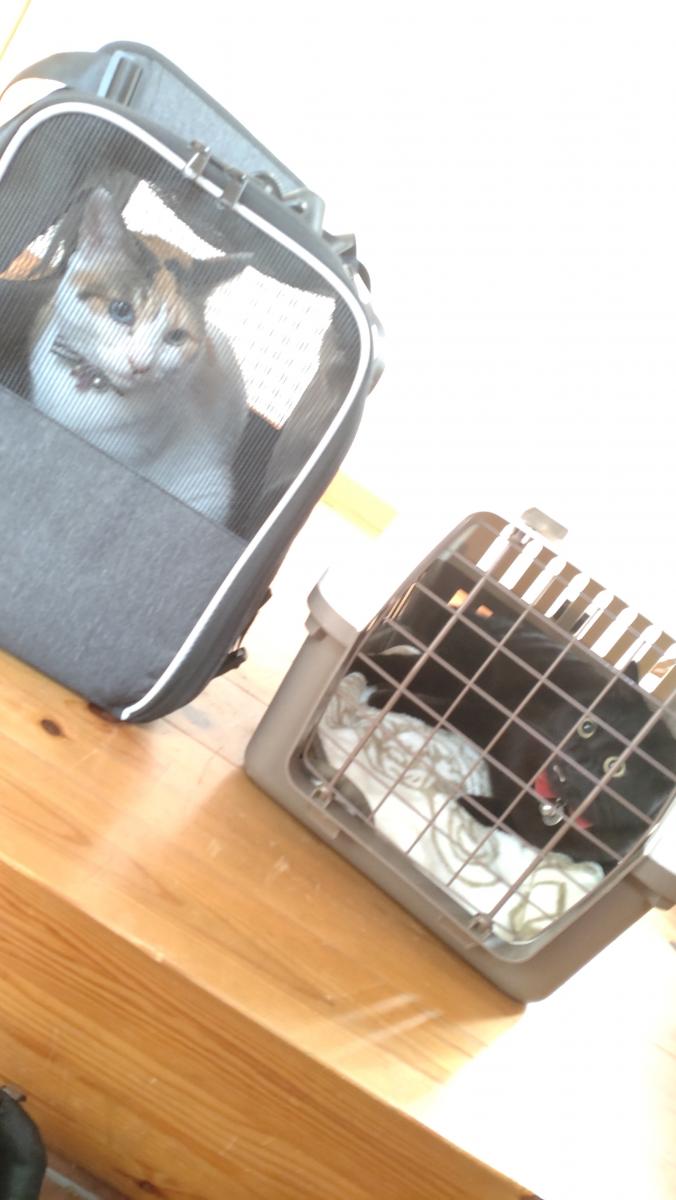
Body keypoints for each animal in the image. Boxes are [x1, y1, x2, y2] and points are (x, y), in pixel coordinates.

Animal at [358, 565, 676, 870]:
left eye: (616, 767)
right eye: (588, 727)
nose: (577, 756)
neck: (549, 800)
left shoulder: (601, 852)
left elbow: (525, 829)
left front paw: (475, 805)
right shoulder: (498, 717)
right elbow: (445, 711)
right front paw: (383, 699)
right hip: (454, 673)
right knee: (404, 669)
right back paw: (362, 666)